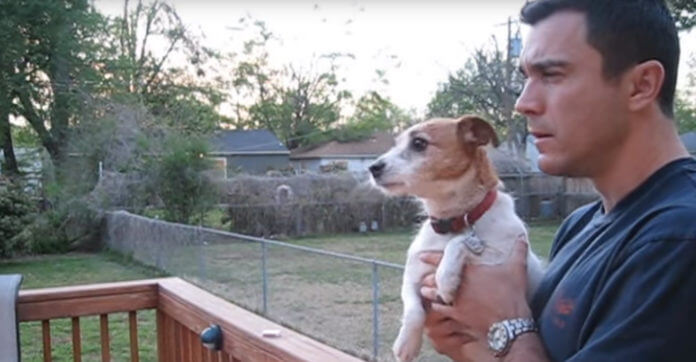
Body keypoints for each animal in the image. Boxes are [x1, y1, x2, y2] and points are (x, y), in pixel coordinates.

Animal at [368, 116, 548, 362]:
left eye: (419, 143)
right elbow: (413, 310)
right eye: (395, 144)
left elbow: (461, 243)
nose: (372, 168)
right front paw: (406, 343)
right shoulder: (412, 275)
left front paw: (446, 279)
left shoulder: (501, 254)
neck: (454, 222)